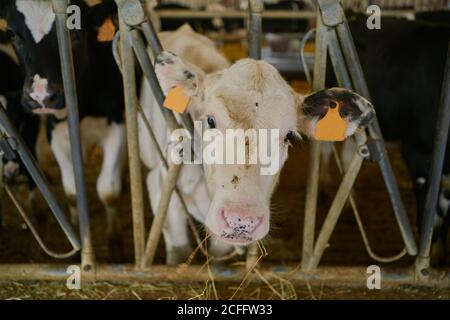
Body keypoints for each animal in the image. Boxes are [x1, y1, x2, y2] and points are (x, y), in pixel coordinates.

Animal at [0, 0, 125, 260]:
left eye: (74, 33)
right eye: (13, 34)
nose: (41, 96)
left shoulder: (118, 124)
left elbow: (108, 190)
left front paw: (116, 244)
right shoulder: (55, 132)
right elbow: (72, 192)